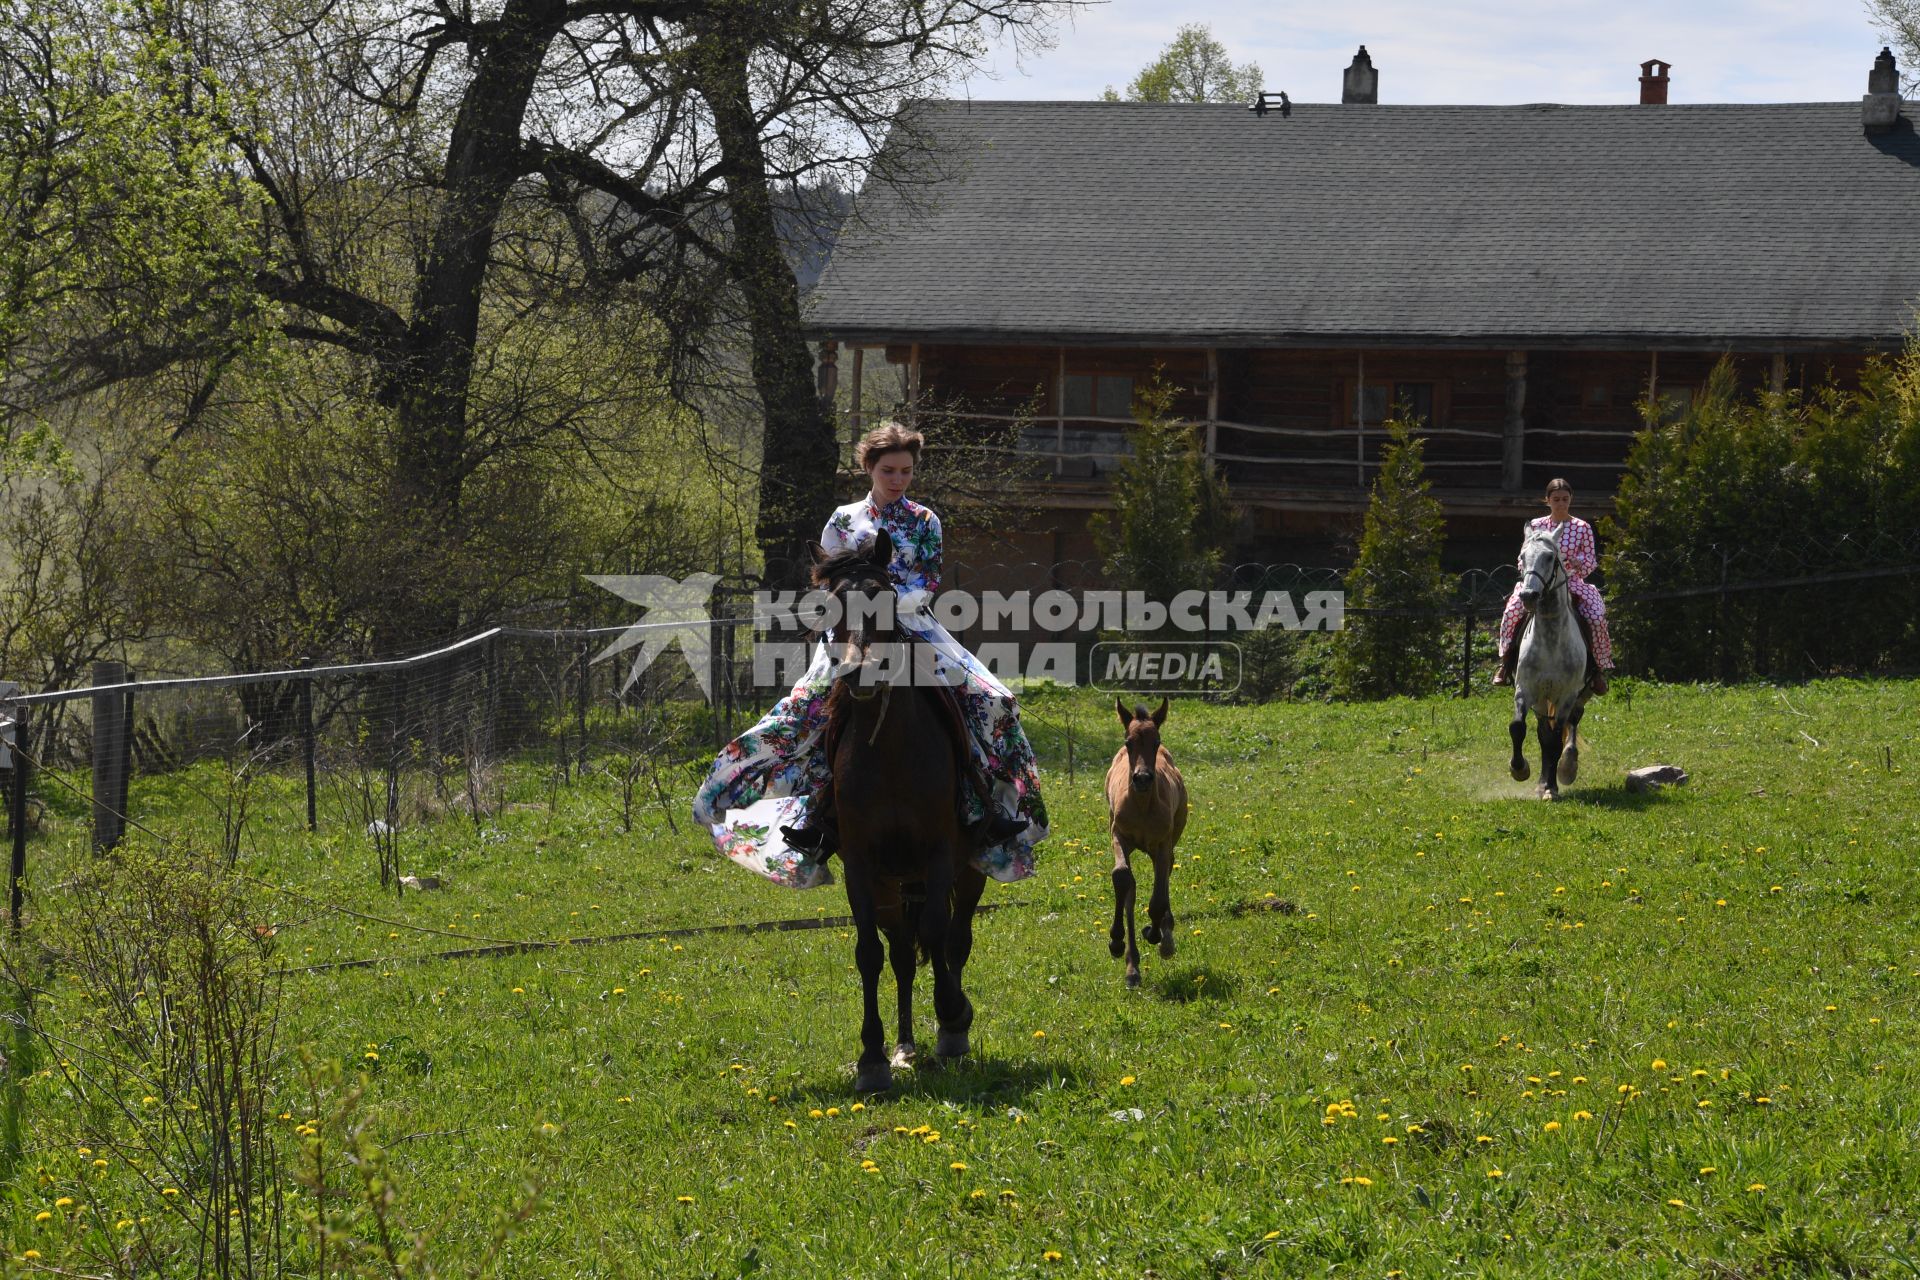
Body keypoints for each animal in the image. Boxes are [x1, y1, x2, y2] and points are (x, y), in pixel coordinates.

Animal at [814, 529, 983, 1090]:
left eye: (883, 596)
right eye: (827, 606)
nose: (861, 672)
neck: (888, 748)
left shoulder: (939, 854)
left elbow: (939, 933)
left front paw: (953, 1016)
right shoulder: (861, 866)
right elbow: (870, 954)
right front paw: (872, 1057)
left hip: (968, 871)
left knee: (955, 939)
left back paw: (951, 1027)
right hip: (894, 886)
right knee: (903, 955)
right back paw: (906, 1045)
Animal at [1105, 702, 1190, 990]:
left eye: (1157, 741)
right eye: (1128, 742)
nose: (1142, 778)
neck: (1142, 805)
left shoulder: (1162, 845)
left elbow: (1158, 900)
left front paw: (1154, 933)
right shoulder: (1118, 835)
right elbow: (1122, 877)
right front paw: (1116, 941)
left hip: (1168, 842)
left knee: (1165, 879)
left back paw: (1165, 936)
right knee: (1129, 889)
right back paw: (1132, 966)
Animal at [1512, 521, 1589, 802]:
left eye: (1549, 557)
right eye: (1522, 557)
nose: (1528, 596)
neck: (1551, 639)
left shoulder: (1567, 694)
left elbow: (1556, 738)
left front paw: (1552, 788)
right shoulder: (1525, 689)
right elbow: (1518, 728)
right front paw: (1520, 770)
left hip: (1578, 694)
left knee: (1571, 724)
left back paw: (1567, 767)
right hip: (1543, 700)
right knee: (1543, 732)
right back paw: (1542, 781)